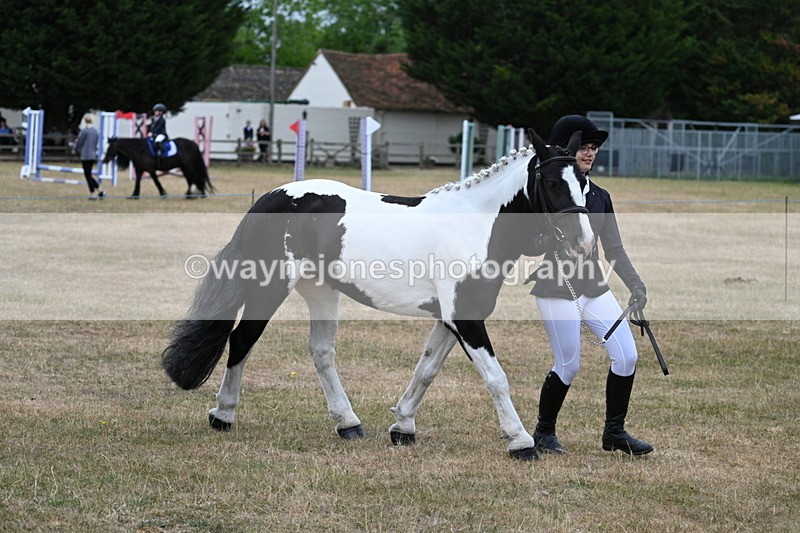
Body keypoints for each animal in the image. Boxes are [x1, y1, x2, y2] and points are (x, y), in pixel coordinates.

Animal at [161, 129, 594, 460]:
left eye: (585, 182)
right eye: (553, 183)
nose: (584, 242)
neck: (475, 224)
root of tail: (269, 199)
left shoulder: (451, 318)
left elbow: (427, 369)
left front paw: (402, 425)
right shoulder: (465, 318)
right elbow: (495, 377)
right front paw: (521, 441)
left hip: (319, 291)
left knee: (320, 352)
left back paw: (348, 424)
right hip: (269, 288)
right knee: (241, 341)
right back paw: (223, 415)